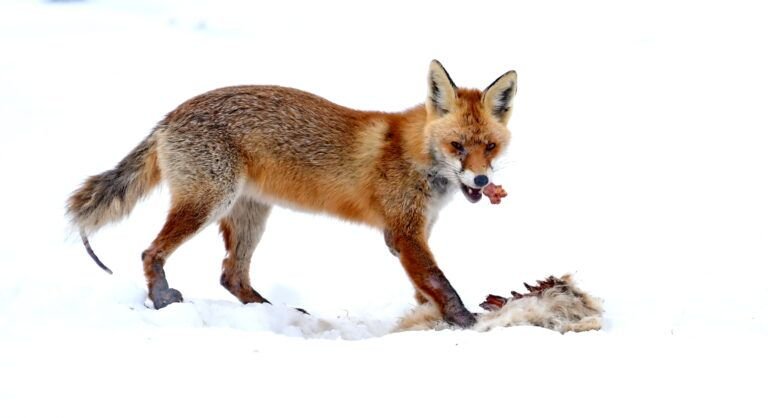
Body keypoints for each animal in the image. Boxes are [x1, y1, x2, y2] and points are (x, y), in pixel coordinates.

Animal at [66, 60, 517, 328]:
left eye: (490, 147)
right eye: (457, 146)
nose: (481, 181)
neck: (415, 155)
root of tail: (168, 117)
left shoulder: (410, 233)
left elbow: (425, 286)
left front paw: (433, 317)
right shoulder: (404, 233)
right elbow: (440, 282)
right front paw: (465, 320)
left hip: (249, 215)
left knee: (231, 275)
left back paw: (271, 312)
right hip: (208, 203)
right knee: (151, 252)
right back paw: (162, 299)